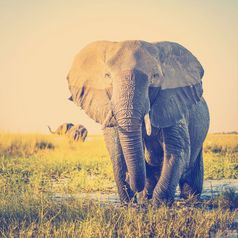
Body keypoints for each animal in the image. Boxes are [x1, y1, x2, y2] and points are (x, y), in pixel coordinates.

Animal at [66, 41, 208, 206]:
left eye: (155, 76)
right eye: (107, 76)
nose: (129, 178)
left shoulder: (172, 103)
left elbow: (177, 150)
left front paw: (158, 206)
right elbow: (116, 152)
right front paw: (129, 204)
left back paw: (190, 200)